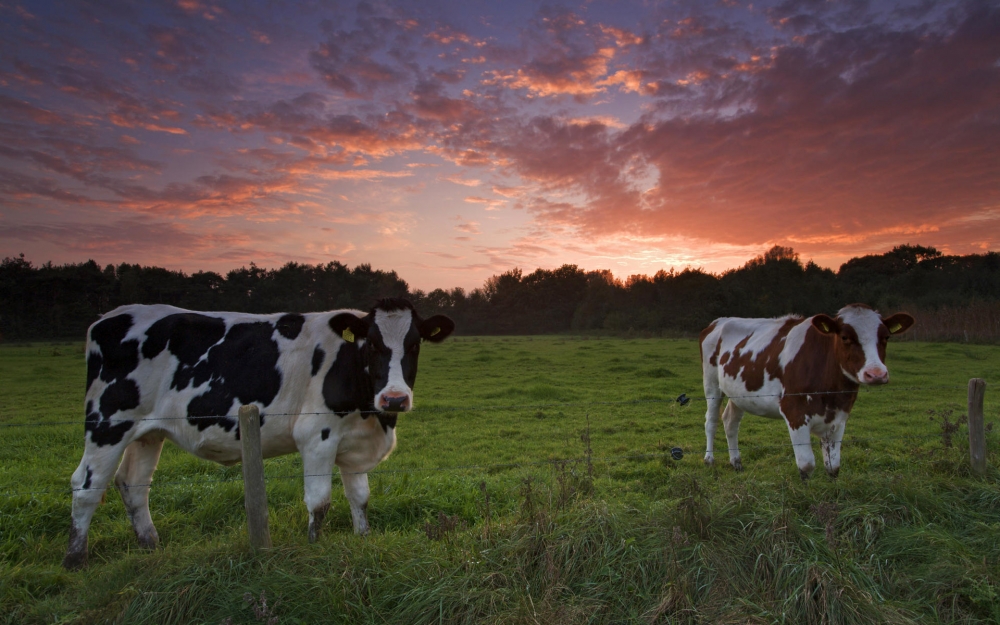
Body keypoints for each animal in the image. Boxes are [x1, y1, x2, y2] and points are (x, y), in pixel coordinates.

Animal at [62, 300, 454, 568]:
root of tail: (109, 317)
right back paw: (75, 560)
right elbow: (320, 502)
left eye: (415, 344)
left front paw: (363, 539)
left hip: (147, 432)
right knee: (86, 486)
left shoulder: (355, 443)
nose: (395, 398)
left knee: (133, 484)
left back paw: (151, 547)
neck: (371, 413)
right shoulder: (317, 436)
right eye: (372, 344)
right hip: (108, 423)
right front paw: (313, 547)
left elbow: (360, 498)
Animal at [700, 304, 916, 480]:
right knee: (711, 421)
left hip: (738, 393)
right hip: (712, 384)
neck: (831, 392)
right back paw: (709, 459)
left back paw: (736, 462)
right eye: (845, 337)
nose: (876, 373)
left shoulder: (839, 417)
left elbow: (833, 467)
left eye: (886, 337)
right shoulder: (794, 412)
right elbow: (806, 465)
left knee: (730, 422)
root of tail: (720, 321)